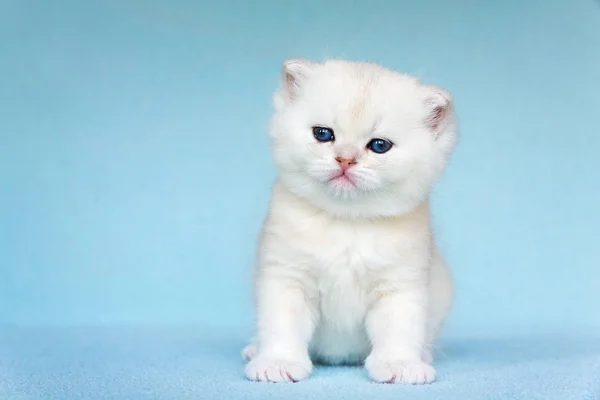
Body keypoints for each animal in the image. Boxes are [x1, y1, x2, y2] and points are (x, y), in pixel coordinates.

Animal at [241, 59, 458, 384]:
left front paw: (400, 365)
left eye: (379, 145)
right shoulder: (287, 278)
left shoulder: (399, 287)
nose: (345, 159)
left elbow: (399, 330)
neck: (346, 221)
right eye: (322, 134)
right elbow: (282, 325)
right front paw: (278, 362)